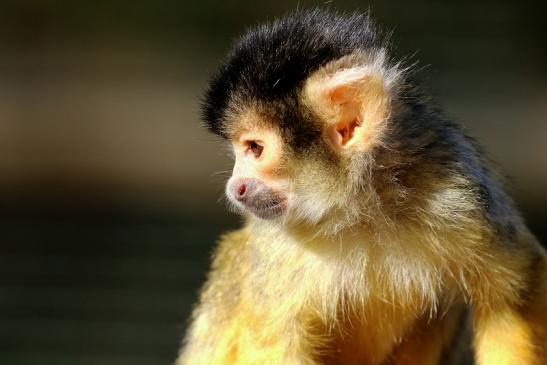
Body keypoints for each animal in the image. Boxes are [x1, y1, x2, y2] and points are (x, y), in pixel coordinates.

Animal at [177, 8, 547, 364]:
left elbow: (514, 290)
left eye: (254, 148)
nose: (234, 186)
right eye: (239, 151)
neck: (359, 211)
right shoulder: (277, 247)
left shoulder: (458, 192)